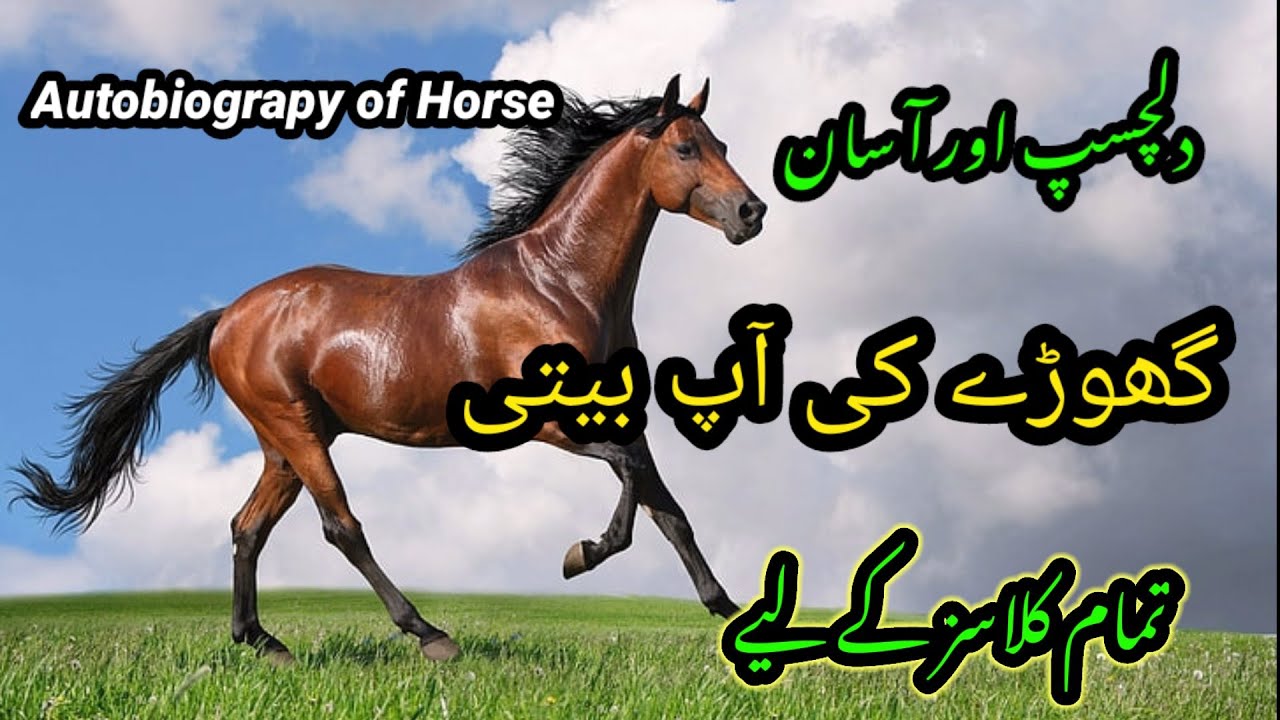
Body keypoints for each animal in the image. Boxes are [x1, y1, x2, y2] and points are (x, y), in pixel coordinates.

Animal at [11, 75, 766, 663]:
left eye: (724, 145)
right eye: (686, 147)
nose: (751, 211)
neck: (559, 285)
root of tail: (228, 315)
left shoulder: (616, 418)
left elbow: (669, 509)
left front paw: (731, 612)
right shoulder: (550, 423)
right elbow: (634, 486)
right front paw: (580, 554)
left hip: (284, 444)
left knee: (248, 527)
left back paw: (265, 643)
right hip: (297, 432)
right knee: (341, 526)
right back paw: (429, 634)